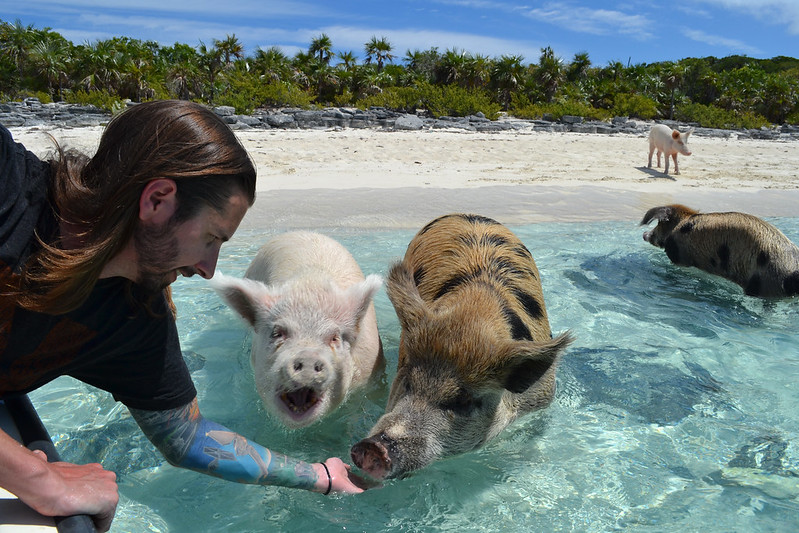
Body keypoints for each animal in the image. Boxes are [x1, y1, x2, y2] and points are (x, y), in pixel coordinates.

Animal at [641, 204, 799, 297]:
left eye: (659, 224)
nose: (644, 234)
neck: (680, 223)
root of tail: (793, 272)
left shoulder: (679, 256)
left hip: (766, 281)